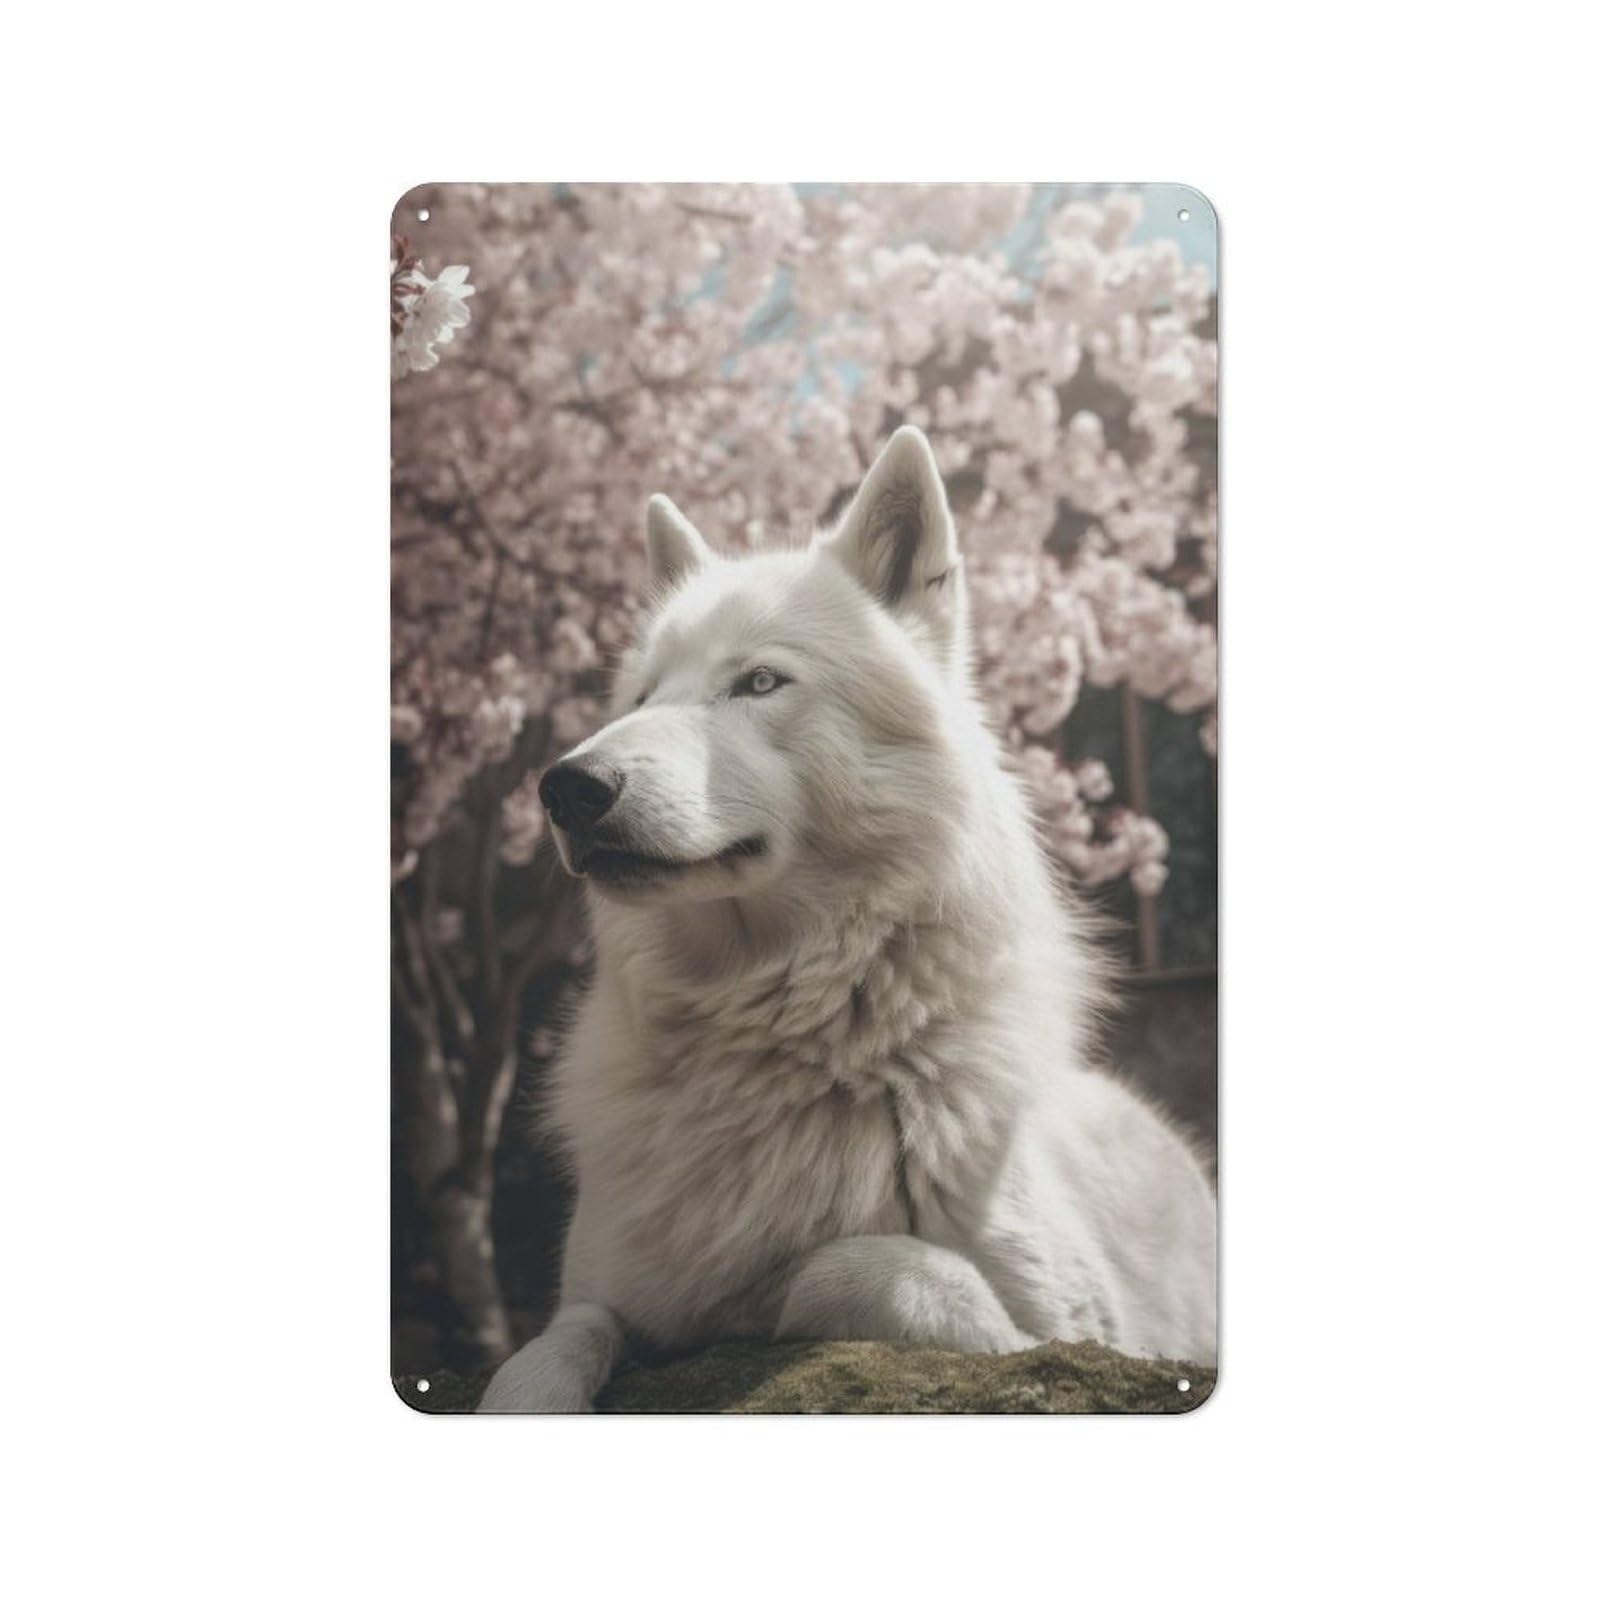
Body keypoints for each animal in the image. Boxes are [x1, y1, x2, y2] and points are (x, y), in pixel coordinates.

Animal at [478, 426, 1216, 1411]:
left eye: (759, 681)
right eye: (639, 699)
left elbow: (858, 1266)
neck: (780, 1045)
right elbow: (543, 1353)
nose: (565, 789)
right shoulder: (593, 1294)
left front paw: (766, 1299)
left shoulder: (1071, 1336)